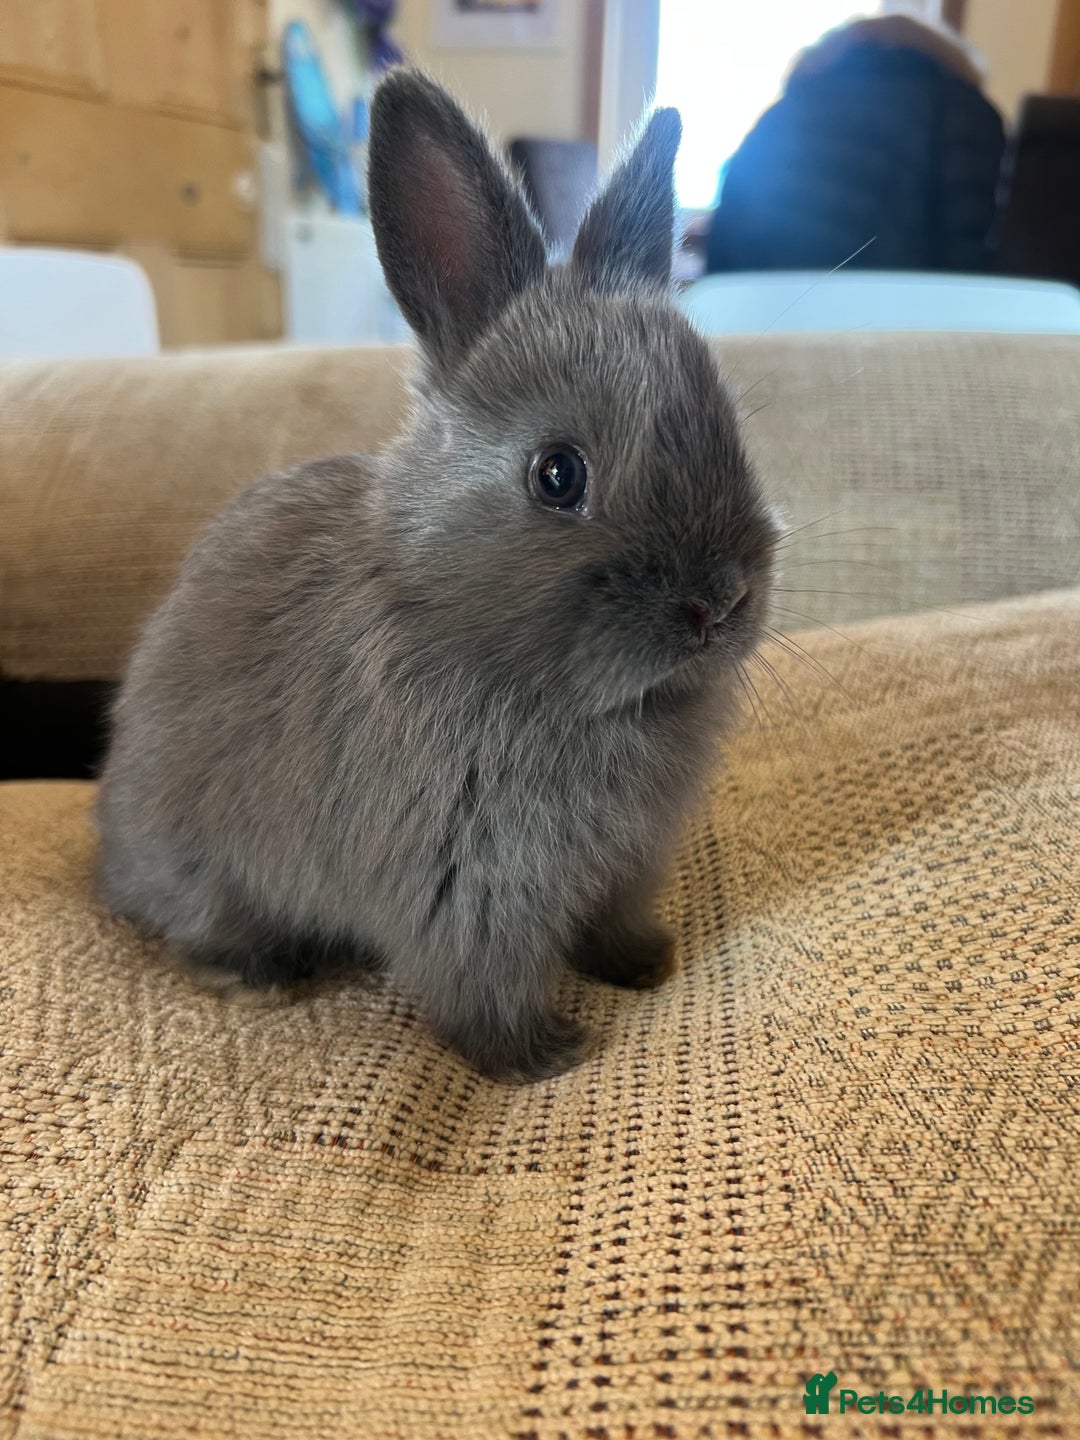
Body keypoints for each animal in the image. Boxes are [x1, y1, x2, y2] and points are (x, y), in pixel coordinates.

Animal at [95, 69, 780, 1082]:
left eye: (731, 428)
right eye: (557, 474)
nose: (718, 603)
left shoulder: (627, 863)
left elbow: (612, 922)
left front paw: (643, 965)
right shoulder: (466, 887)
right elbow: (481, 987)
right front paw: (544, 1057)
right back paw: (255, 975)